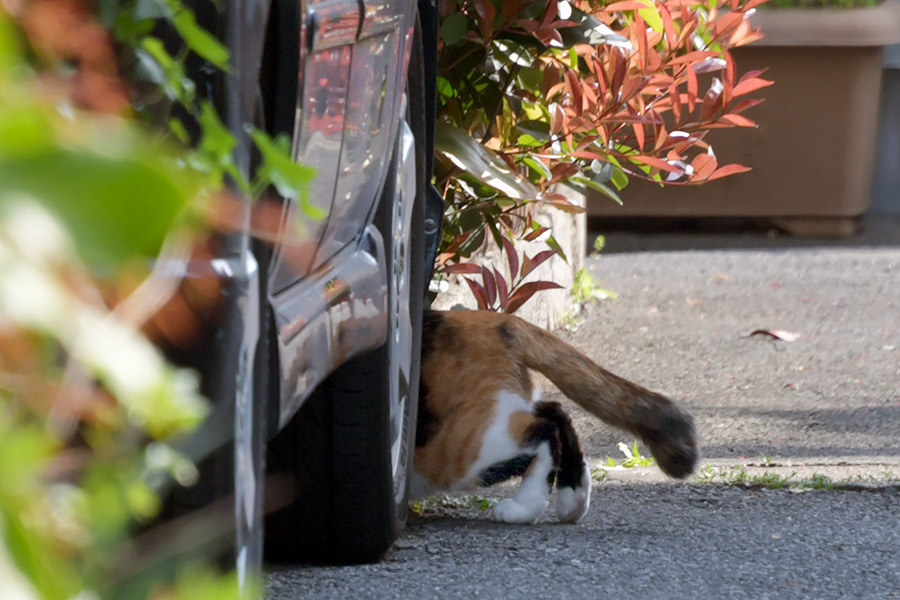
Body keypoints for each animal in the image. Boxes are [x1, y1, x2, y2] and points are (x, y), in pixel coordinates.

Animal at [412, 310, 700, 524]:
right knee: (557, 413)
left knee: (544, 433)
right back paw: (573, 499)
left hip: (462, 447)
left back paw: (522, 509)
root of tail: (502, 321)